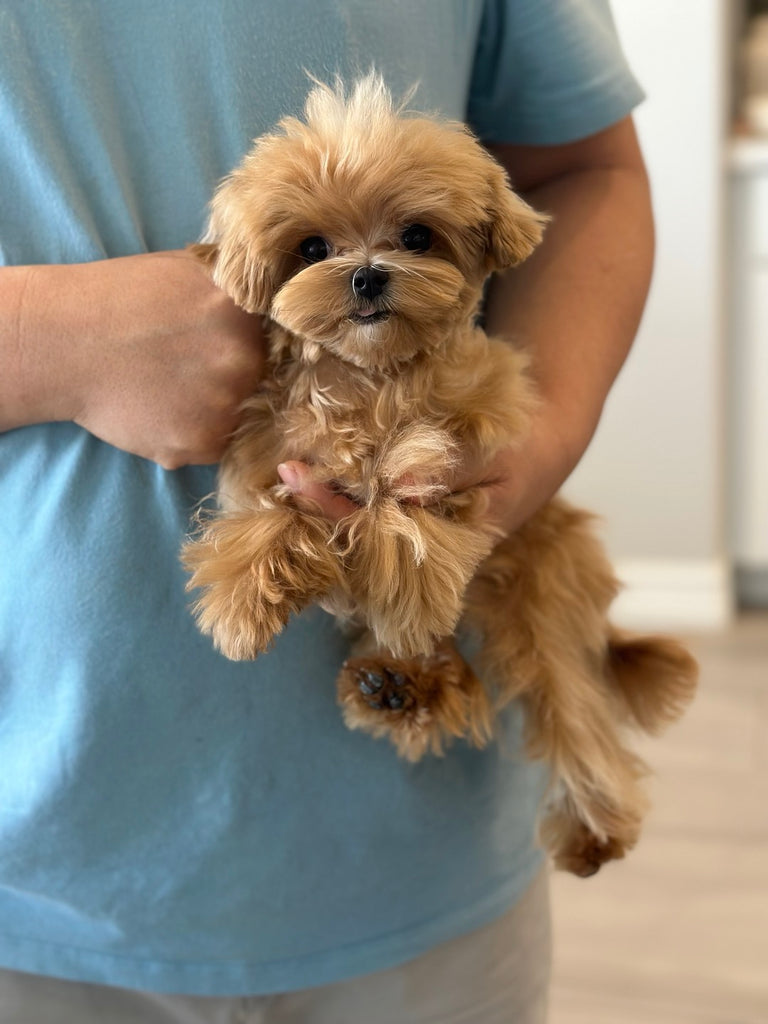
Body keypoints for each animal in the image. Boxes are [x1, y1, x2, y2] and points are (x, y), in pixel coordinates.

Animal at [183, 75, 700, 876]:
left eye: (417, 236)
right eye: (312, 248)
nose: (367, 275)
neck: (371, 378)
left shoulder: (481, 424)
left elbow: (412, 480)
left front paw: (404, 560)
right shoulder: (272, 450)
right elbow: (268, 513)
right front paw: (242, 601)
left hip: (540, 601)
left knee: (575, 713)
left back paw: (590, 824)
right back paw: (400, 684)